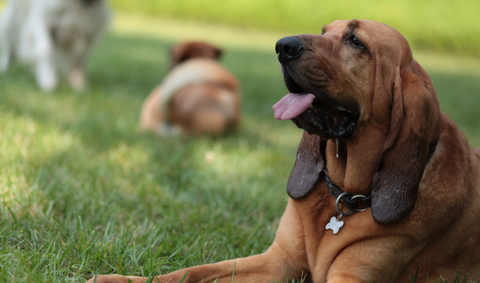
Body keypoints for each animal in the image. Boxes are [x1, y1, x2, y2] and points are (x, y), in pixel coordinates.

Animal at [89, 20, 480, 283]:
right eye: (324, 29)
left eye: (355, 41)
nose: (282, 46)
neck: (345, 196)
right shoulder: (278, 261)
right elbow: (191, 272)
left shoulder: (349, 278)